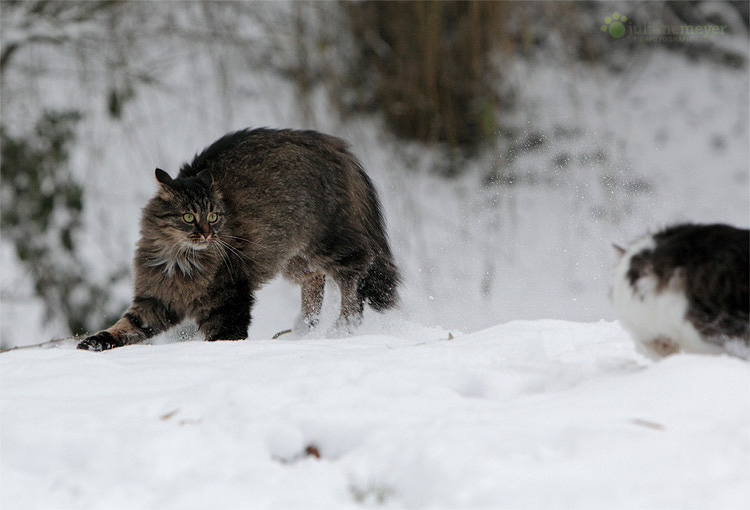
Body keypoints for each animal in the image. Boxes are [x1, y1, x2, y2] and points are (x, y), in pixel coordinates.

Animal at [79, 127, 402, 350]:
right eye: (188, 217)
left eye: (213, 216)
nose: (207, 233)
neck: (179, 259)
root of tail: (331, 143)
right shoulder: (155, 298)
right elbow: (124, 326)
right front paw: (95, 342)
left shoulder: (227, 302)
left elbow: (224, 338)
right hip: (291, 256)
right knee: (315, 280)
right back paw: (303, 328)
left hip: (327, 240)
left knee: (354, 272)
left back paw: (343, 326)